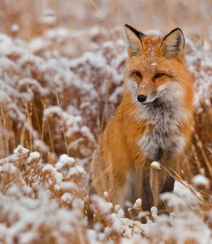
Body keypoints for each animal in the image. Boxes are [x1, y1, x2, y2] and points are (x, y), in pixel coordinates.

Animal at [90, 24, 194, 212]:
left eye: (159, 75)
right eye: (138, 74)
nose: (141, 97)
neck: (162, 122)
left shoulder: (172, 155)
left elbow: (165, 193)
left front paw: (163, 216)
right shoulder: (142, 155)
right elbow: (145, 198)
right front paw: (147, 217)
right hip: (118, 191)